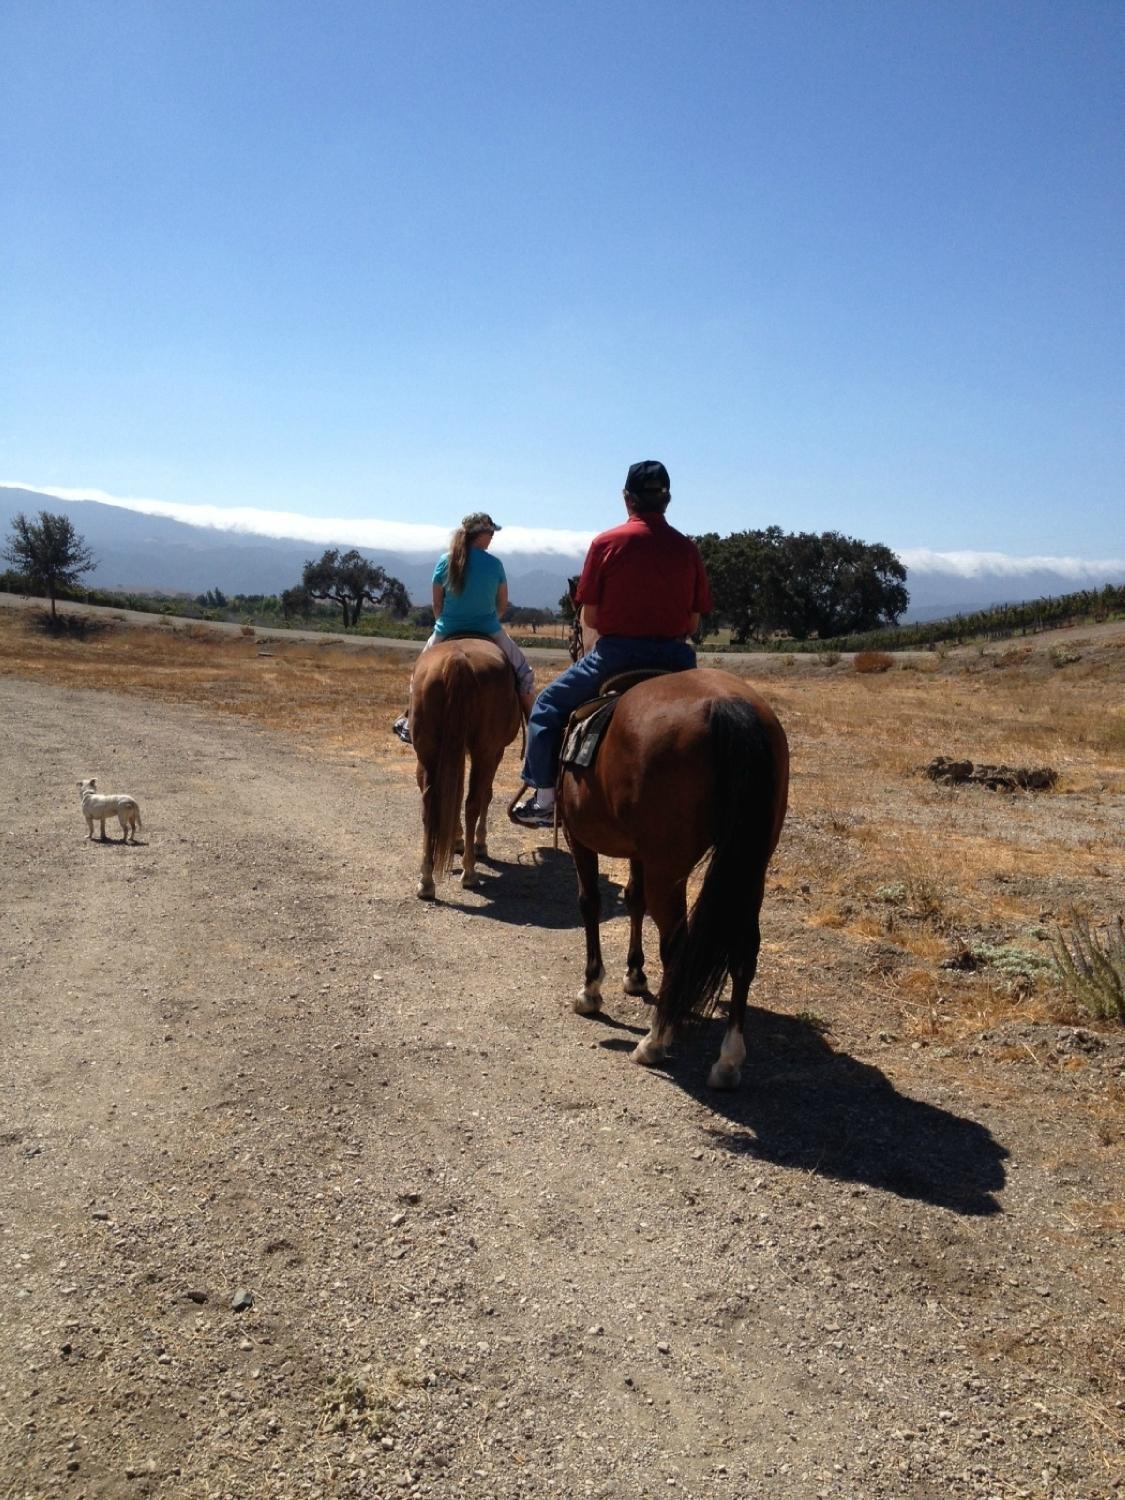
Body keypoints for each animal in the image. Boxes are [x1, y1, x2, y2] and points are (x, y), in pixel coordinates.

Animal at [411, 636, 522, 894]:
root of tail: (457, 660)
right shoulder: (495, 752)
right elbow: (484, 795)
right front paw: (477, 843)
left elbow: (454, 794)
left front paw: (456, 839)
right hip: (484, 752)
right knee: (473, 802)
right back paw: (469, 871)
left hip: (428, 753)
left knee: (430, 805)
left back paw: (426, 880)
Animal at [564, 672, 792, 1092]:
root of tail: (727, 704)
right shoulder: (640, 853)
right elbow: (633, 900)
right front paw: (635, 975)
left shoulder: (579, 839)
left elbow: (590, 903)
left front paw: (591, 990)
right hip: (751, 869)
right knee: (744, 951)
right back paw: (728, 1061)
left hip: (668, 870)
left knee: (677, 944)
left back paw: (654, 1041)